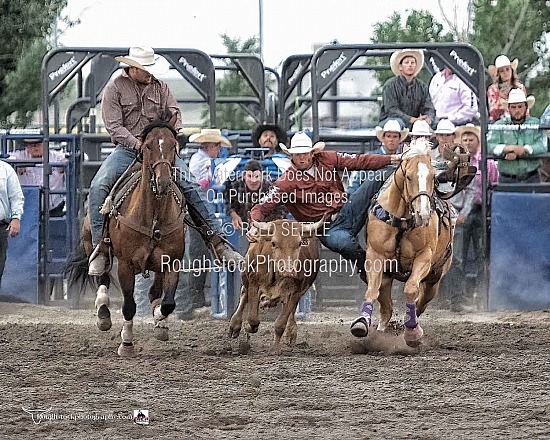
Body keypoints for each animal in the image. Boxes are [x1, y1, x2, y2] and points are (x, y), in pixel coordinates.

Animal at [67, 118, 184, 356]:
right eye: (147, 146)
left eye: (173, 145)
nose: (163, 182)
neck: (153, 216)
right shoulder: (125, 266)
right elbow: (129, 305)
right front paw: (127, 343)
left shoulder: (172, 262)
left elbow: (168, 302)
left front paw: (160, 321)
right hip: (93, 244)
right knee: (102, 276)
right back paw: (103, 315)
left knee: (154, 292)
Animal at [354, 140, 458, 348]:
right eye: (408, 177)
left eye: (433, 177)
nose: (423, 213)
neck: (402, 220)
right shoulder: (375, 256)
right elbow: (371, 290)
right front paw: (361, 323)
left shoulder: (424, 258)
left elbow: (410, 289)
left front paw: (412, 333)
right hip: (387, 276)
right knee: (386, 307)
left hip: (434, 279)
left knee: (420, 303)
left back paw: (411, 326)